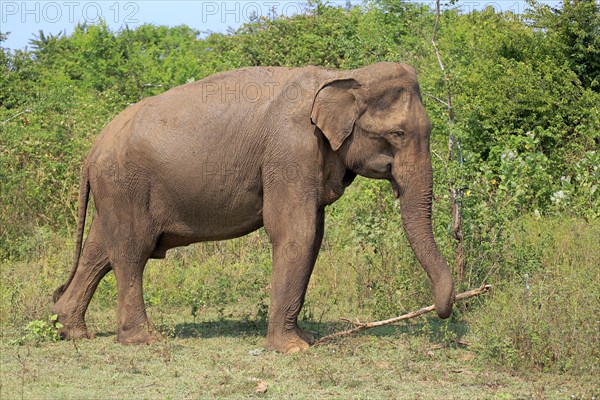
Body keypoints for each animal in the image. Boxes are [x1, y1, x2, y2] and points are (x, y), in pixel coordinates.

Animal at [52, 61, 454, 354]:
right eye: (398, 134)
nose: (442, 312)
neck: (344, 76)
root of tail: (92, 149)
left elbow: (313, 236)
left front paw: (305, 339)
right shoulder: (290, 150)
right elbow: (296, 231)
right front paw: (292, 349)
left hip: (116, 191)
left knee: (100, 250)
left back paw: (72, 330)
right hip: (126, 184)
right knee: (131, 252)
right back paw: (143, 339)